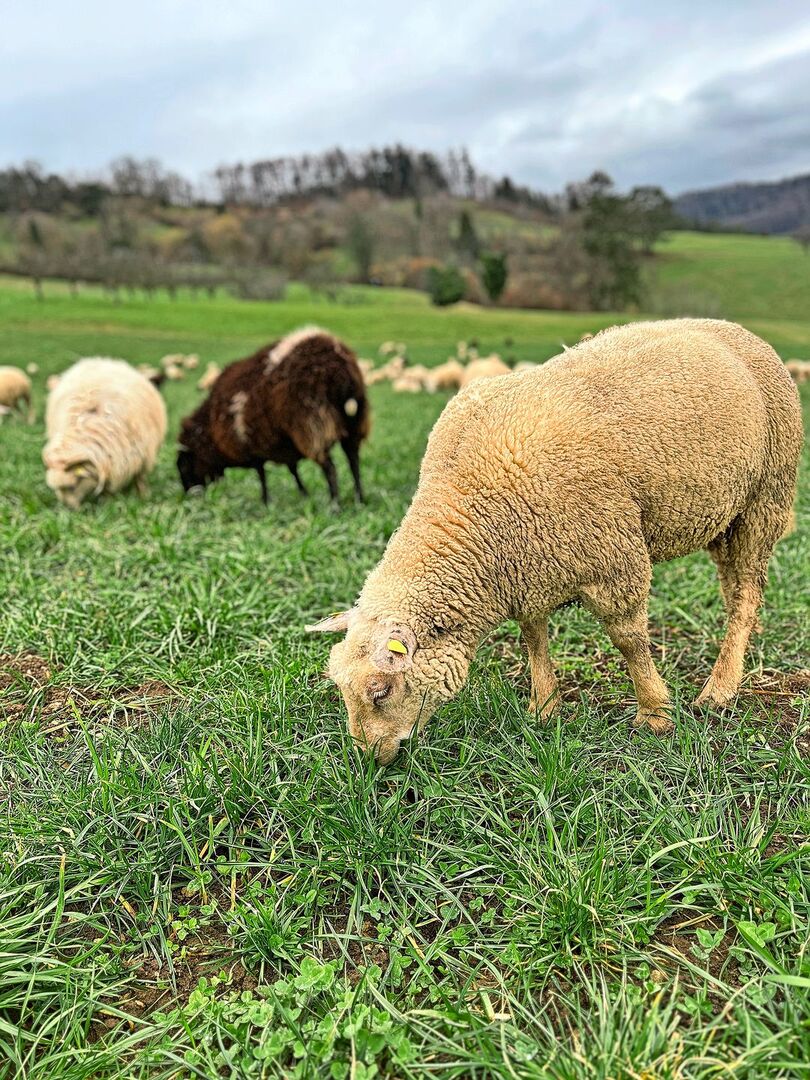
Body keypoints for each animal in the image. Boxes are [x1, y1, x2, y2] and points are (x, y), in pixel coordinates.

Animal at [43, 358, 167, 509]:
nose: (69, 510)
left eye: (74, 485)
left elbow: (140, 477)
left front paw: (142, 497)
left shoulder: (141, 455)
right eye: (57, 489)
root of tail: (101, 360)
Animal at [177, 328, 370, 506]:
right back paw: (359, 499)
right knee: (353, 461)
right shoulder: (282, 444)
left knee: (330, 468)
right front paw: (304, 495)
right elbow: (293, 470)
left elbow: (262, 475)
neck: (211, 427)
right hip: (355, 421)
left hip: (313, 424)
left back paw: (335, 504)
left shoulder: (251, 446)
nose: (189, 496)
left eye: (185, 466)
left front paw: (265, 501)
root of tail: (338, 367)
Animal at [308, 318, 802, 765]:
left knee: (745, 596)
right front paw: (544, 708)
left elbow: (629, 641)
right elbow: (533, 636)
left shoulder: (614, 557)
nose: (371, 759)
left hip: (766, 497)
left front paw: (655, 714)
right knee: (734, 589)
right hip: (724, 517)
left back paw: (719, 690)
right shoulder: (530, 567)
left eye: (380, 690)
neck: (470, 511)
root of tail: (737, 329)